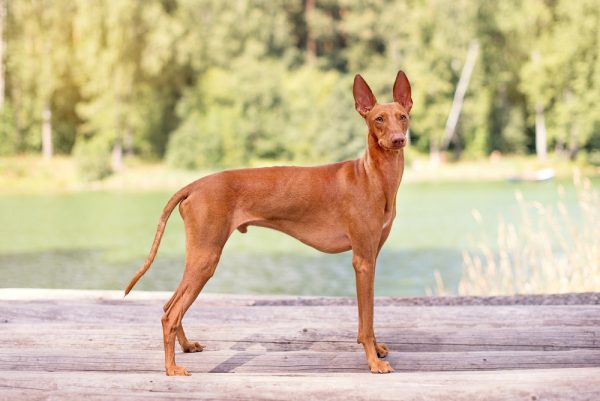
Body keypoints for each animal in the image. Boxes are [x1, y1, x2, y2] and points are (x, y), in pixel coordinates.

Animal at [125, 70, 412, 374]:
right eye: (378, 119)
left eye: (402, 116)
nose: (398, 140)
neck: (372, 177)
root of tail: (194, 185)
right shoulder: (363, 261)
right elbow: (366, 320)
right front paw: (373, 362)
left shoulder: (371, 255)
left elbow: (368, 317)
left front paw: (377, 350)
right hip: (205, 258)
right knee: (170, 314)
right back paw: (172, 369)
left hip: (199, 257)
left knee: (169, 306)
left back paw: (187, 346)